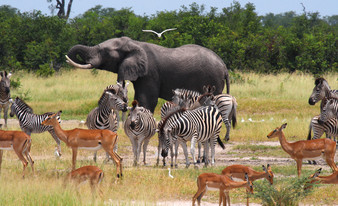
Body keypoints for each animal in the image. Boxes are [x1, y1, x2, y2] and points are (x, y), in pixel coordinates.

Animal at [66, 36, 230, 112]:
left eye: (104, 52)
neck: (134, 44)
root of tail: (224, 66)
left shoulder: (150, 73)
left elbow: (146, 99)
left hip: (212, 80)